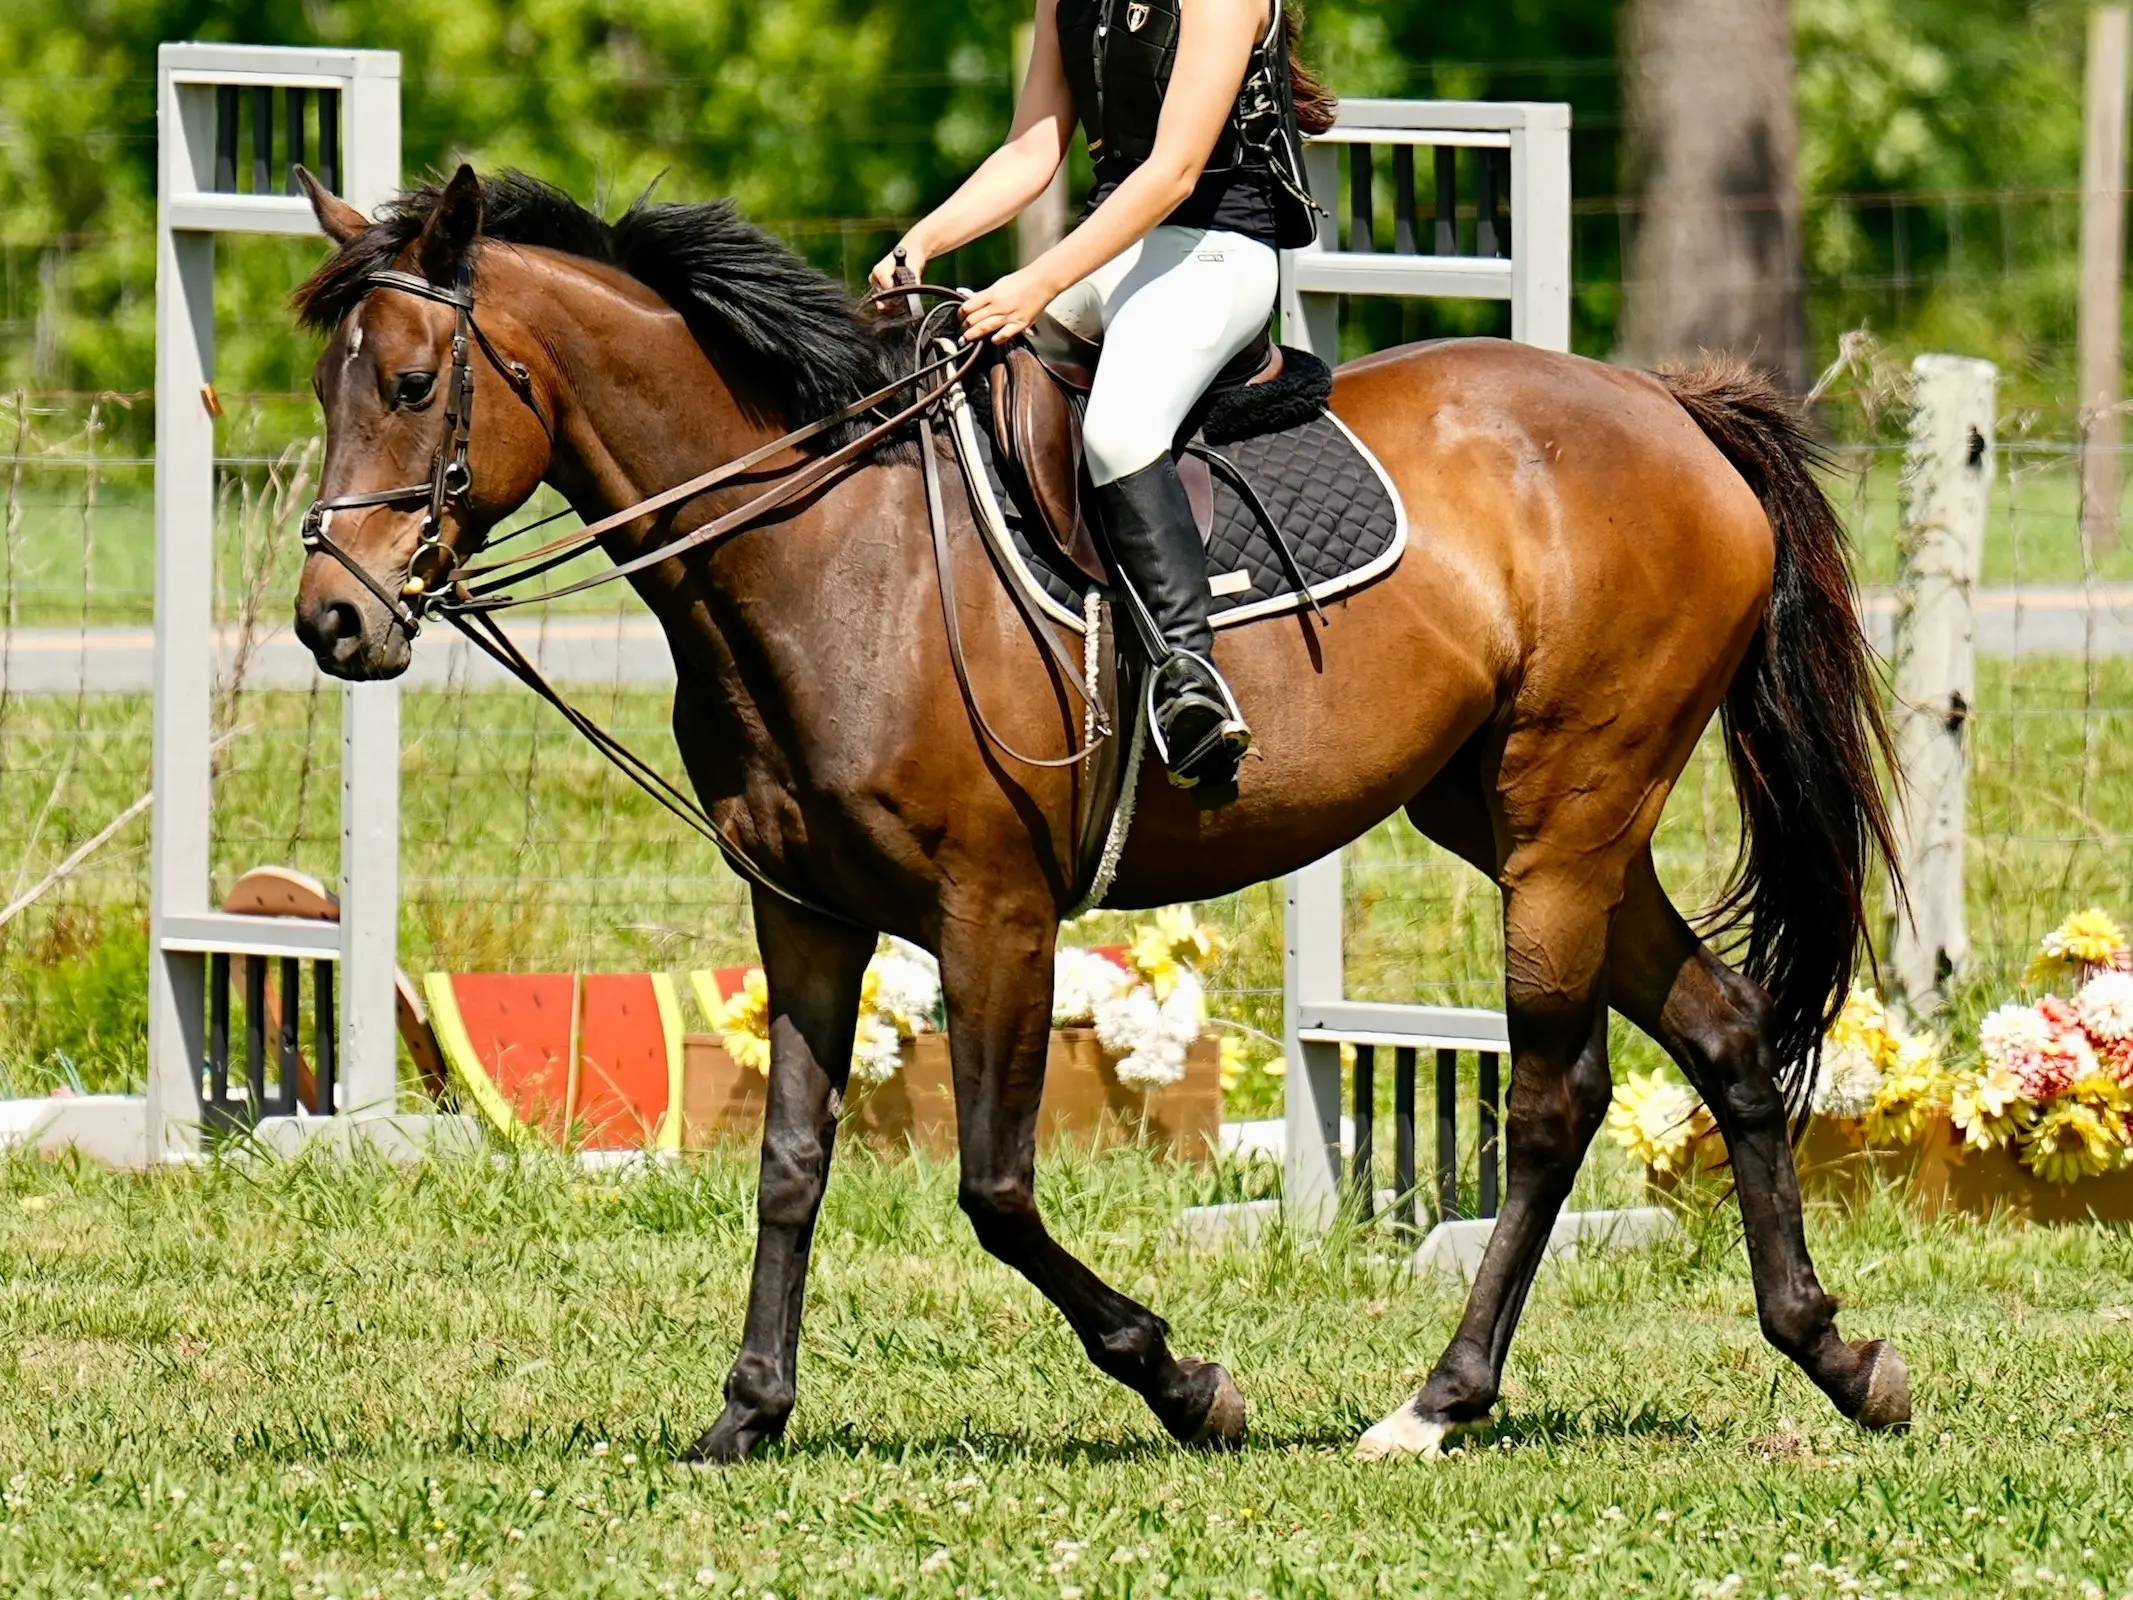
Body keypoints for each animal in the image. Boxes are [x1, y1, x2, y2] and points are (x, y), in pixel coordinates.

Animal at [292, 172, 1911, 1467]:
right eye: (326, 390)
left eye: (416, 383)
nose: (330, 620)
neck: (827, 551)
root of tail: (1669, 408)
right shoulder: (803, 911)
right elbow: (792, 1162)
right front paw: (747, 1413)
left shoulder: (994, 911)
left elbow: (996, 1191)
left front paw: (1187, 1385)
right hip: (1526, 820)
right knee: (1723, 1034)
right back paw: (1836, 1356)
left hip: (1564, 820)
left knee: (1553, 1098)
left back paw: (1436, 1402)